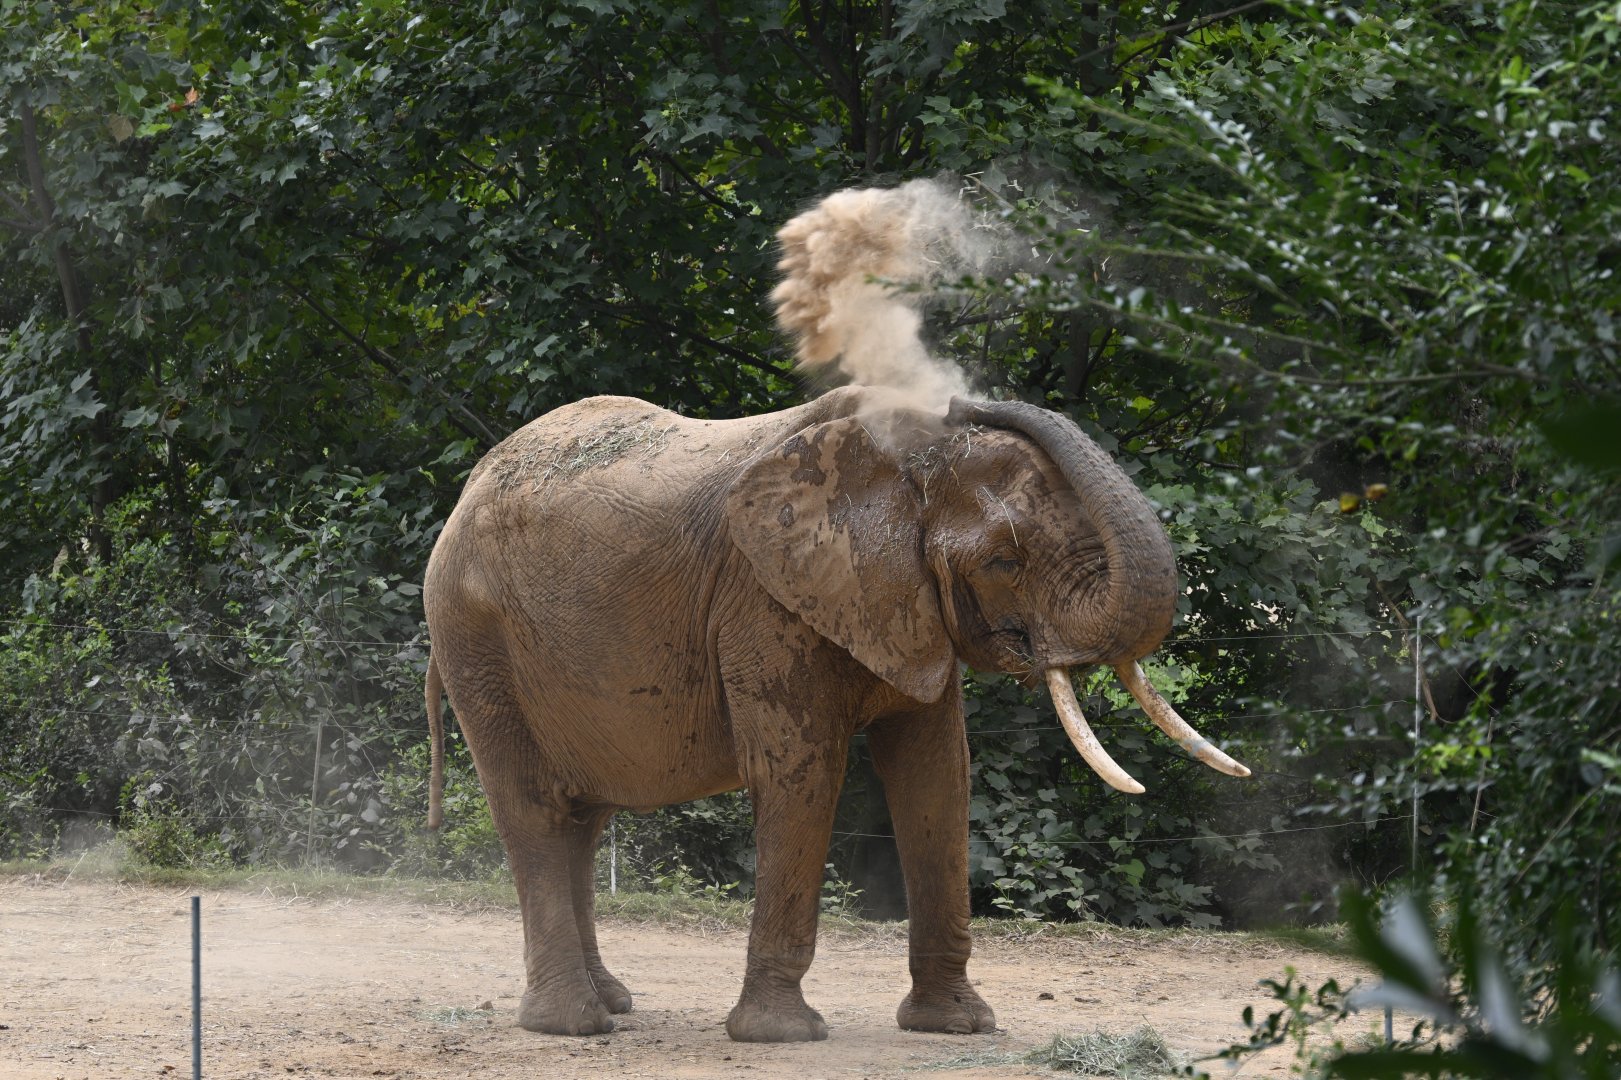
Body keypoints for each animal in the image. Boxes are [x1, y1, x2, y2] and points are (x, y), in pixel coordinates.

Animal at [421, 384, 1248, 1042]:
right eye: (1003, 561)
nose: (961, 398)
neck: (886, 470)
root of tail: (468, 489)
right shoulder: (763, 600)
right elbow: (802, 772)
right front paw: (781, 1036)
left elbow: (937, 775)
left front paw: (956, 1027)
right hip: (475, 636)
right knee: (533, 808)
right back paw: (573, 1024)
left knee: (584, 820)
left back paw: (614, 1002)